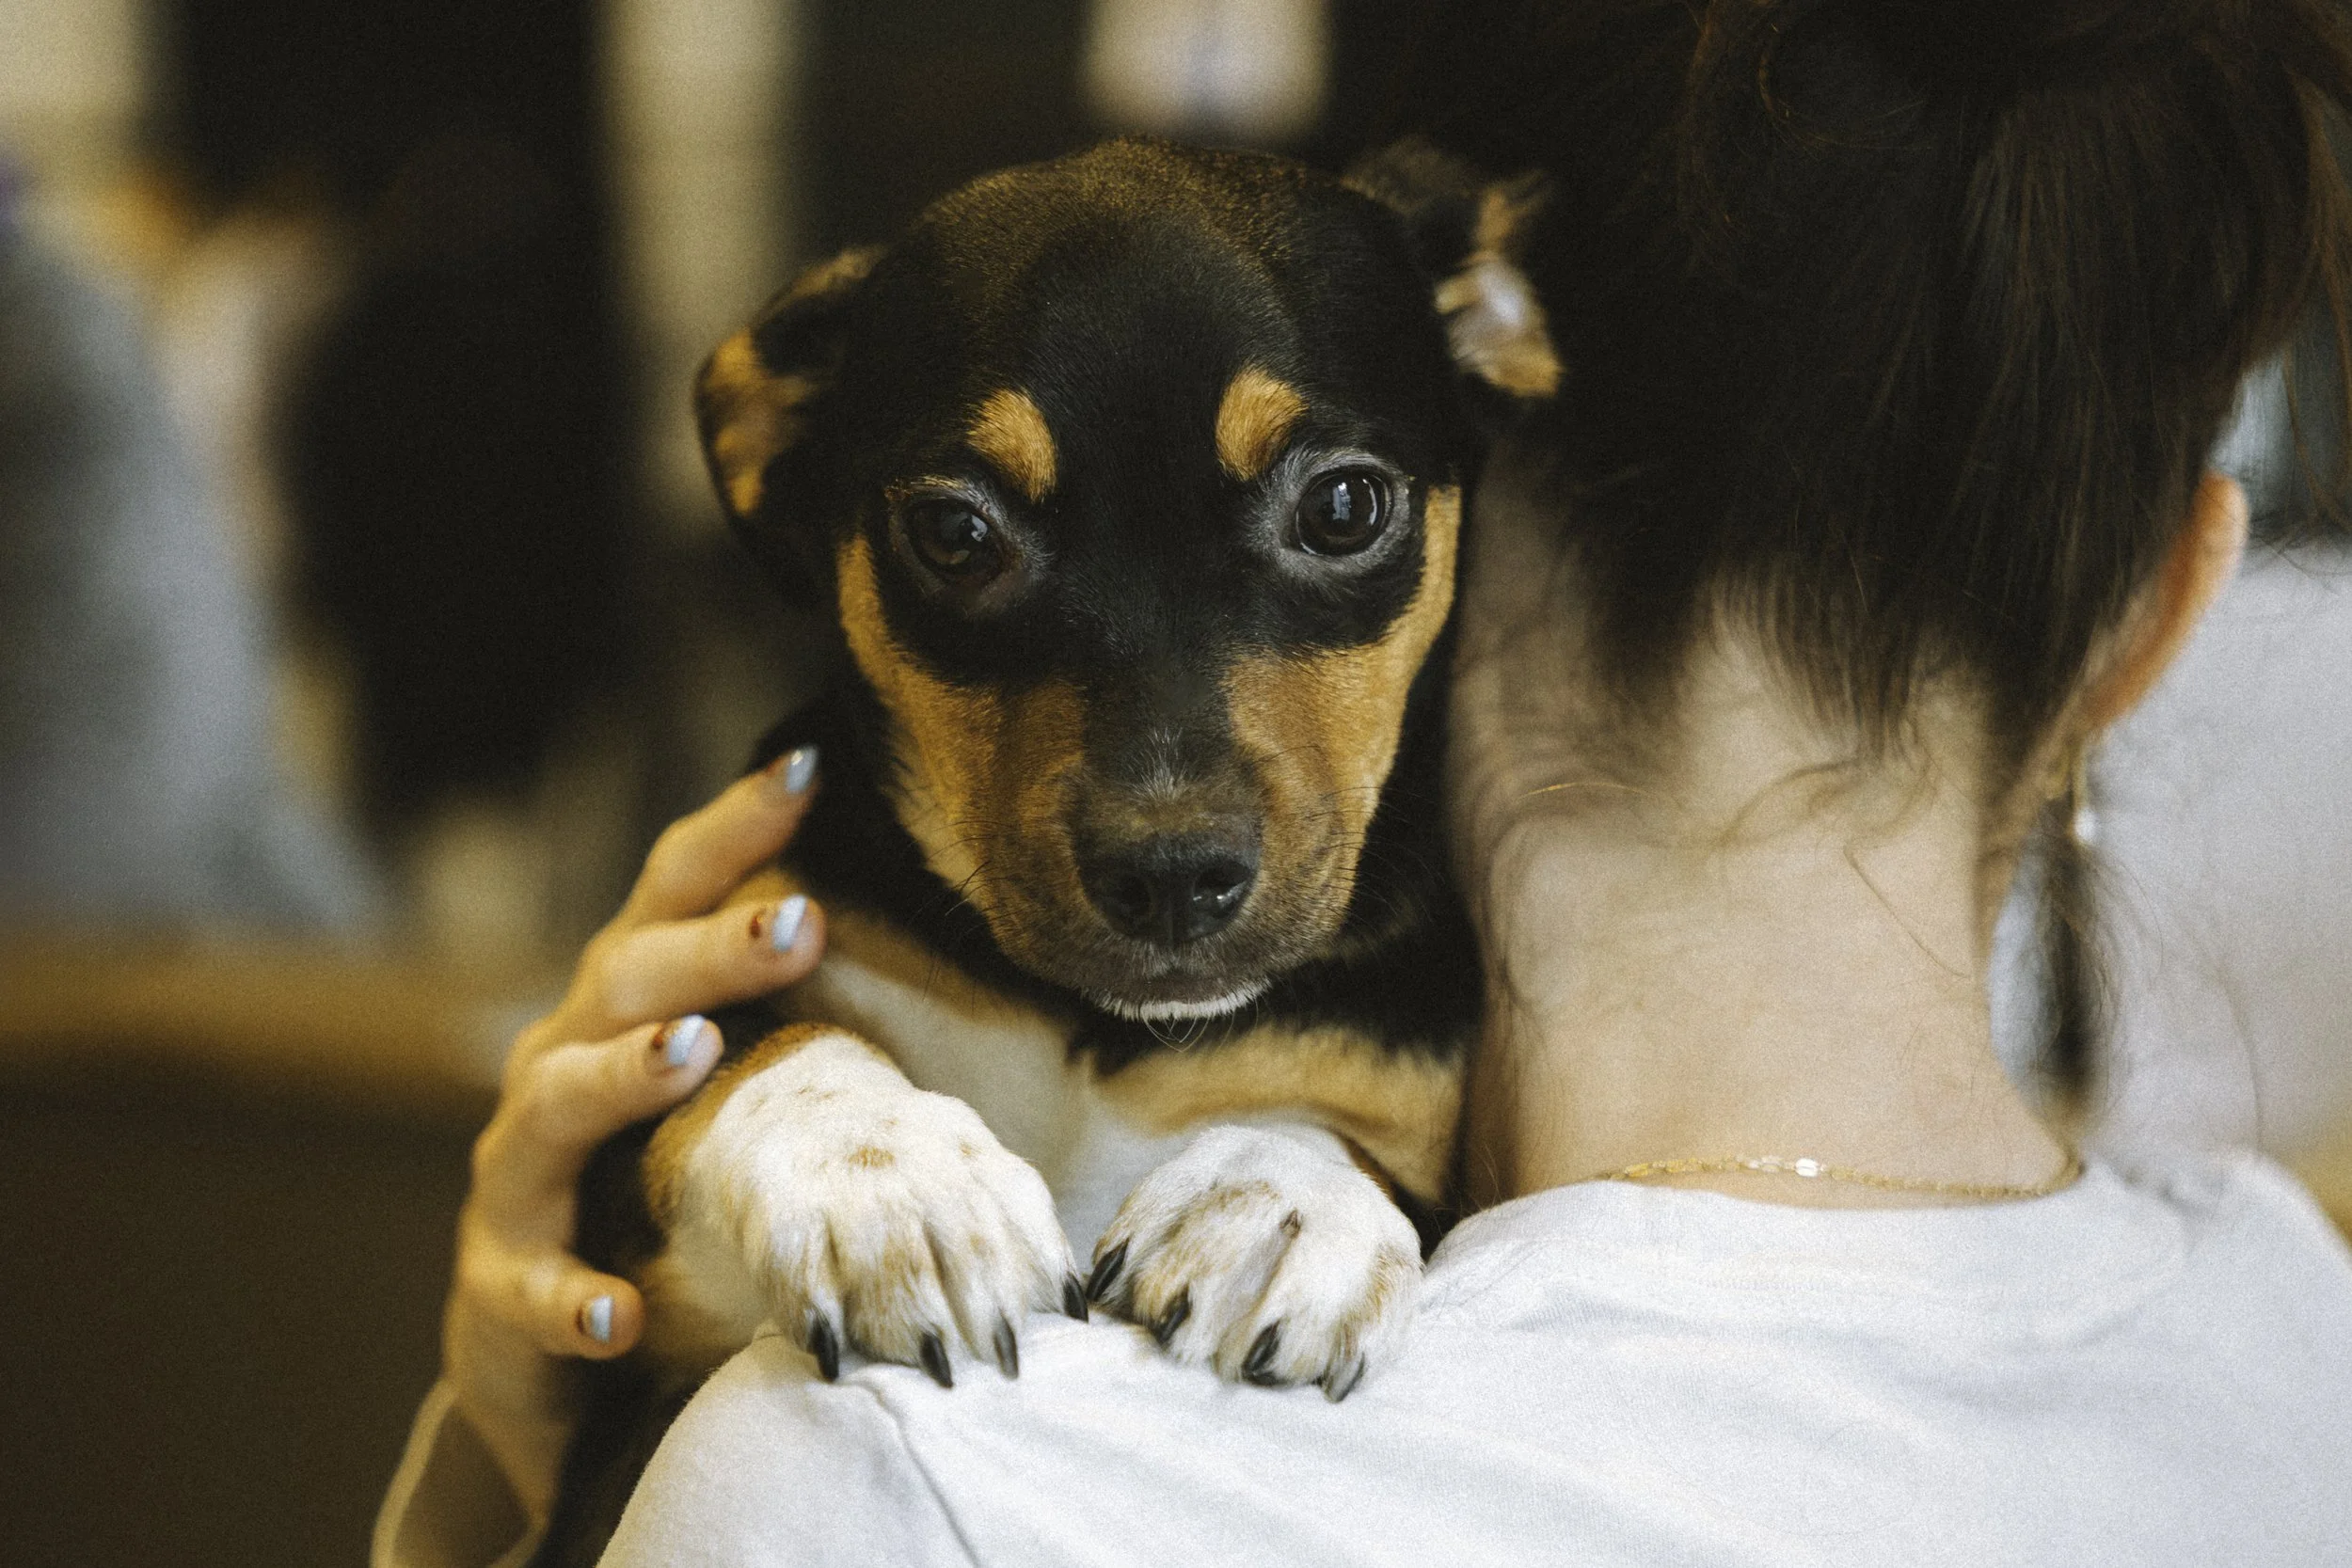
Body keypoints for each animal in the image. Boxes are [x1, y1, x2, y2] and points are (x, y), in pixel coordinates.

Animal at [536, 136, 1555, 1566]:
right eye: (955, 532)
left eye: (1347, 505)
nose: (1171, 874)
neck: (1090, 1028)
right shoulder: (643, 1308)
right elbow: (752, 1039)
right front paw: (889, 1176)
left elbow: (1361, 1149)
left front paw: (1280, 1195)